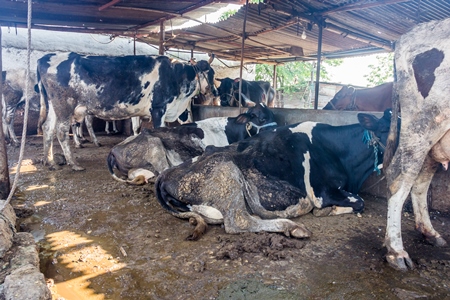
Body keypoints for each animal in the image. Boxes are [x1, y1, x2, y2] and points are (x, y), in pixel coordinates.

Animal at [37, 52, 216, 170]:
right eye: (212, 74)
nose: (215, 92)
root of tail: (45, 57)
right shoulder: (158, 108)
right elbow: (159, 131)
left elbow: (136, 130)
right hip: (64, 105)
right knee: (60, 131)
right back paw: (73, 163)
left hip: (53, 107)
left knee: (47, 128)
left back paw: (49, 161)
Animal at [107, 102, 276, 184]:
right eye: (262, 118)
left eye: (273, 114)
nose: (276, 131)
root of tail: (113, 150)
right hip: (155, 146)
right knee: (162, 171)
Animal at [156, 109, 394, 240]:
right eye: (389, 130)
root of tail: (165, 174)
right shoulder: (322, 193)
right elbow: (360, 202)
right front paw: (327, 211)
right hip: (227, 170)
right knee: (238, 221)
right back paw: (293, 227)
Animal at [382, 17, 450, 272]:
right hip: (424, 125)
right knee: (399, 177)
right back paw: (396, 251)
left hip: (434, 141)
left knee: (420, 182)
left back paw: (429, 232)